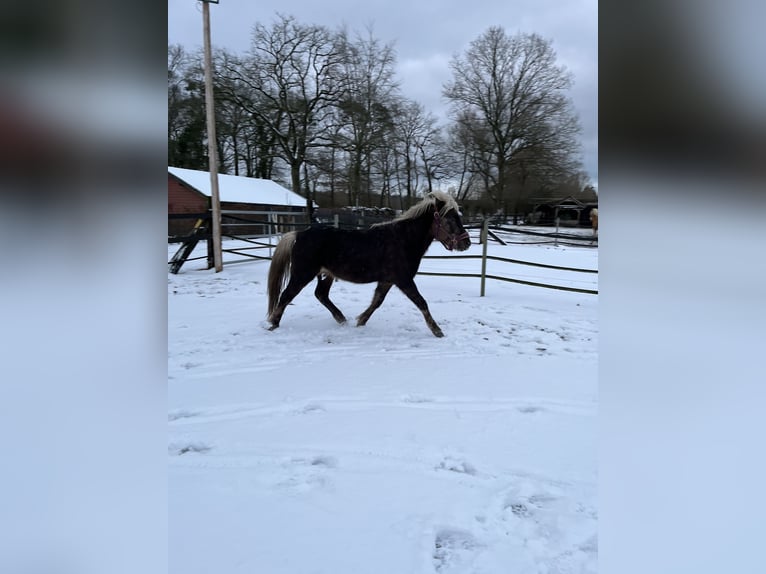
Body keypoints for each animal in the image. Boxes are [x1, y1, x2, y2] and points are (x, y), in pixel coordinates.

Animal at [266, 191, 471, 337]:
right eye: (451, 218)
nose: (466, 243)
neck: (402, 239)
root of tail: (298, 234)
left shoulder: (387, 281)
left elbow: (377, 302)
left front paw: (361, 321)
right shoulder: (404, 280)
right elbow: (421, 302)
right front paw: (437, 330)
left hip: (326, 274)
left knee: (321, 294)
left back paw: (341, 319)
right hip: (303, 273)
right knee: (286, 295)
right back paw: (273, 324)